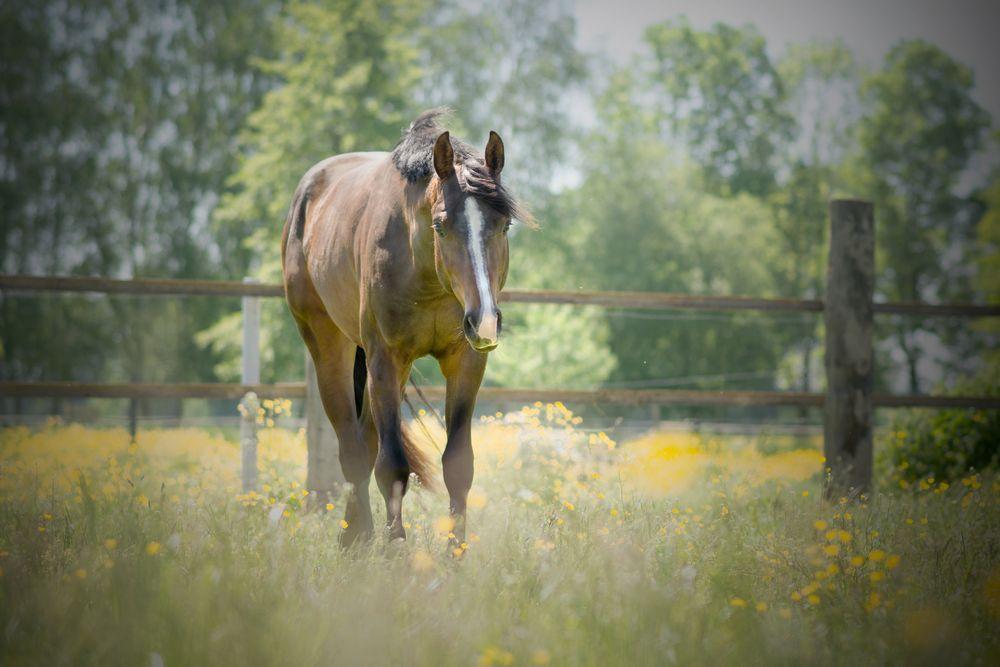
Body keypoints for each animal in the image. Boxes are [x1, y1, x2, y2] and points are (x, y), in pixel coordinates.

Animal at [280, 111, 532, 548]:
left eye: (504, 226)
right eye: (441, 226)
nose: (484, 319)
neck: (424, 270)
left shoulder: (465, 362)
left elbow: (458, 464)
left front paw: (456, 551)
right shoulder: (386, 360)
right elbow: (392, 467)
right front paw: (396, 550)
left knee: (366, 442)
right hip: (330, 346)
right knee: (352, 448)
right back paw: (356, 537)